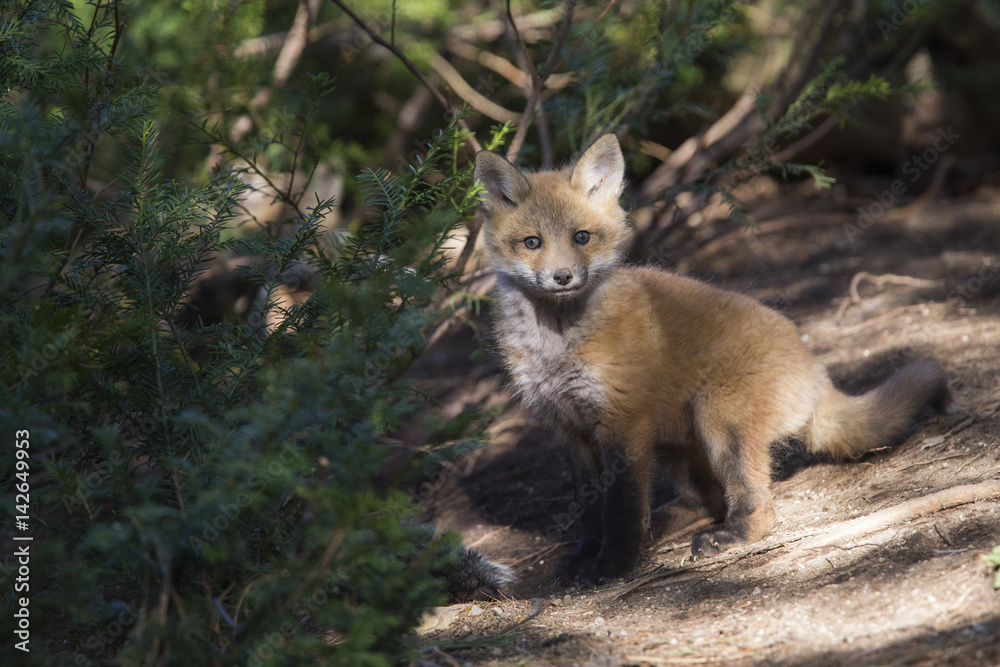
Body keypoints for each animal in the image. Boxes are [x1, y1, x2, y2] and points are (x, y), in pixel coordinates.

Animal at [472, 134, 949, 586]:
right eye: (532, 243)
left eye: (582, 237)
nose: (562, 277)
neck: (559, 345)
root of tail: (815, 369)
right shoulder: (571, 431)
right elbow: (592, 512)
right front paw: (584, 557)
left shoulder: (623, 423)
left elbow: (620, 509)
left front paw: (613, 565)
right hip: (672, 442)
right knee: (707, 501)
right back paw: (660, 528)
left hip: (717, 419)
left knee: (757, 509)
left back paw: (729, 535)